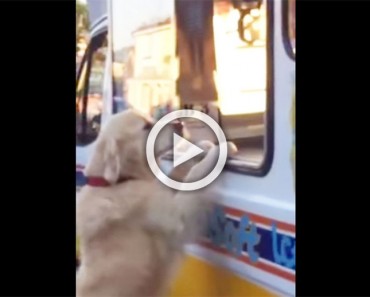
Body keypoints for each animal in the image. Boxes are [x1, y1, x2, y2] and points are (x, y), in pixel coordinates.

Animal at [76, 108, 237, 296]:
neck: (121, 181)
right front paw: (222, 149)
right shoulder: (176, 219)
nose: (179, 123)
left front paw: (203, 147)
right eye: (146, 126)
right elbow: (197, 172)